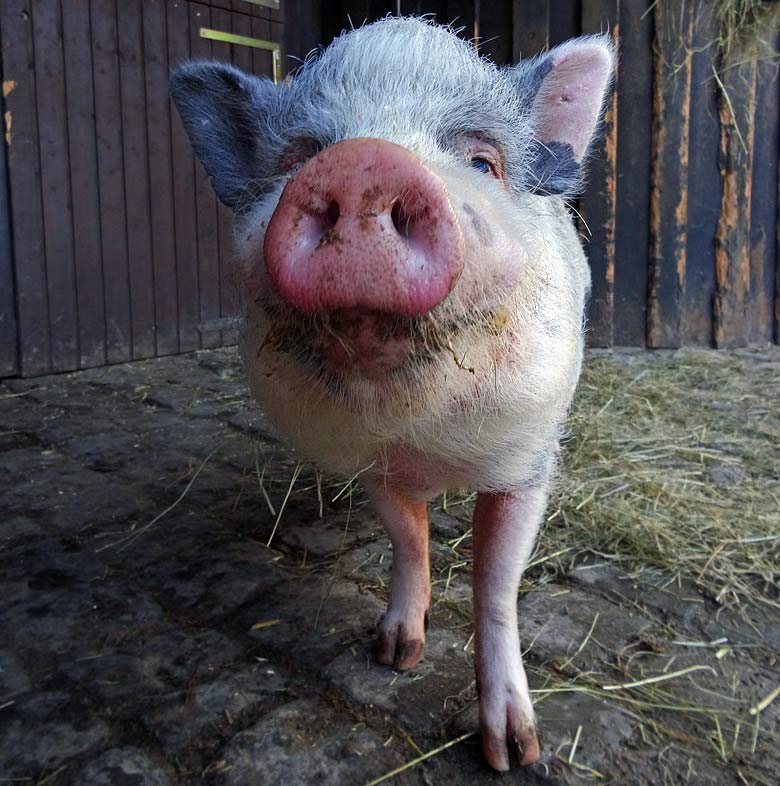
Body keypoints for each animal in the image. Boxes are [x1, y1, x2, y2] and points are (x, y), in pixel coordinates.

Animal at [169, 18, 608, 772]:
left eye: (484, 164)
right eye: (301, 157)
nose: (364, 164)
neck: (425, 440)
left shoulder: (525, 463)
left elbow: (497, 584)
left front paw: (512, 753)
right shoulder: (375, 464)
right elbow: (408, 537)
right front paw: (394, 657)